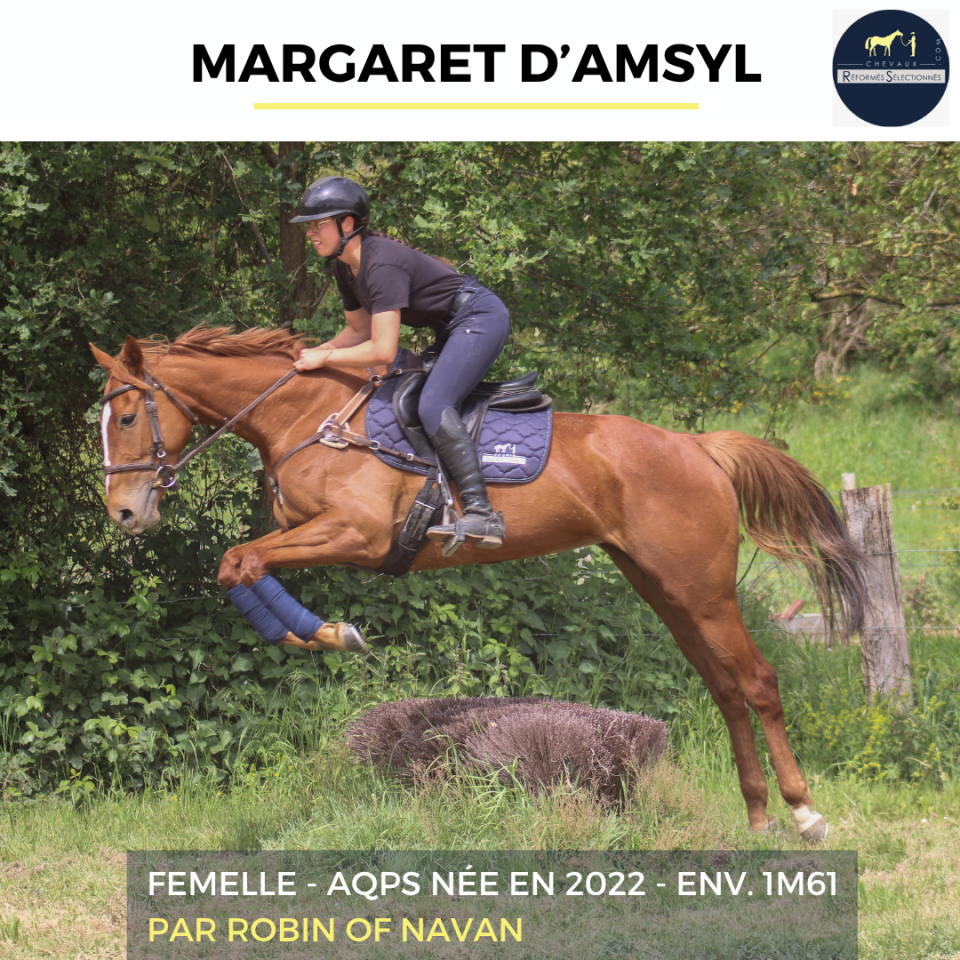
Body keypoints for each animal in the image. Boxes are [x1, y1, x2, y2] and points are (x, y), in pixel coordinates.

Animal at [90, 326, 867, 841]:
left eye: (126, 416)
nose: (124, 513)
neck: (308, 417)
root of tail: (697, 447)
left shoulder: (357, 535)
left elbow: (241, 561)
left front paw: (330, 634)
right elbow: (238, 561)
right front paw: (319, 634)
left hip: (700, 588)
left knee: (757, 682)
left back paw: (804, 813)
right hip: (664, 588)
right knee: (725, 688)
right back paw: (758, 815)